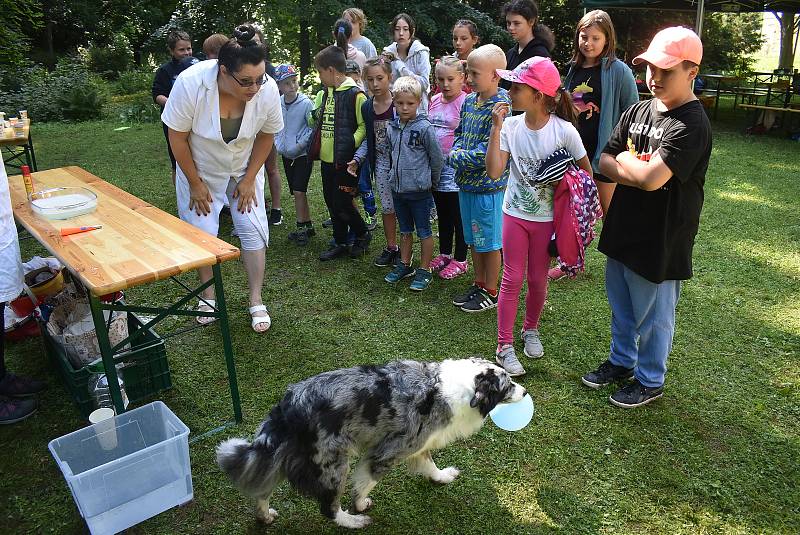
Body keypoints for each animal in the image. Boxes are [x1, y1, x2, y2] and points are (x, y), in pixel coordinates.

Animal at [216, 358, 528, 528]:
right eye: (508, 385)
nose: (525, 392)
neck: (457, 388)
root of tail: (288, 405)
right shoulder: (390, 450)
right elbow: (368, 479)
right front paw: (361, 503)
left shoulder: (420, 444)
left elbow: (430, 465)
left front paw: (443, 477)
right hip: (332, 464)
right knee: (328, 508)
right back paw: (352, 521)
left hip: (284, 454)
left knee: (261, 488)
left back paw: (264, 516)